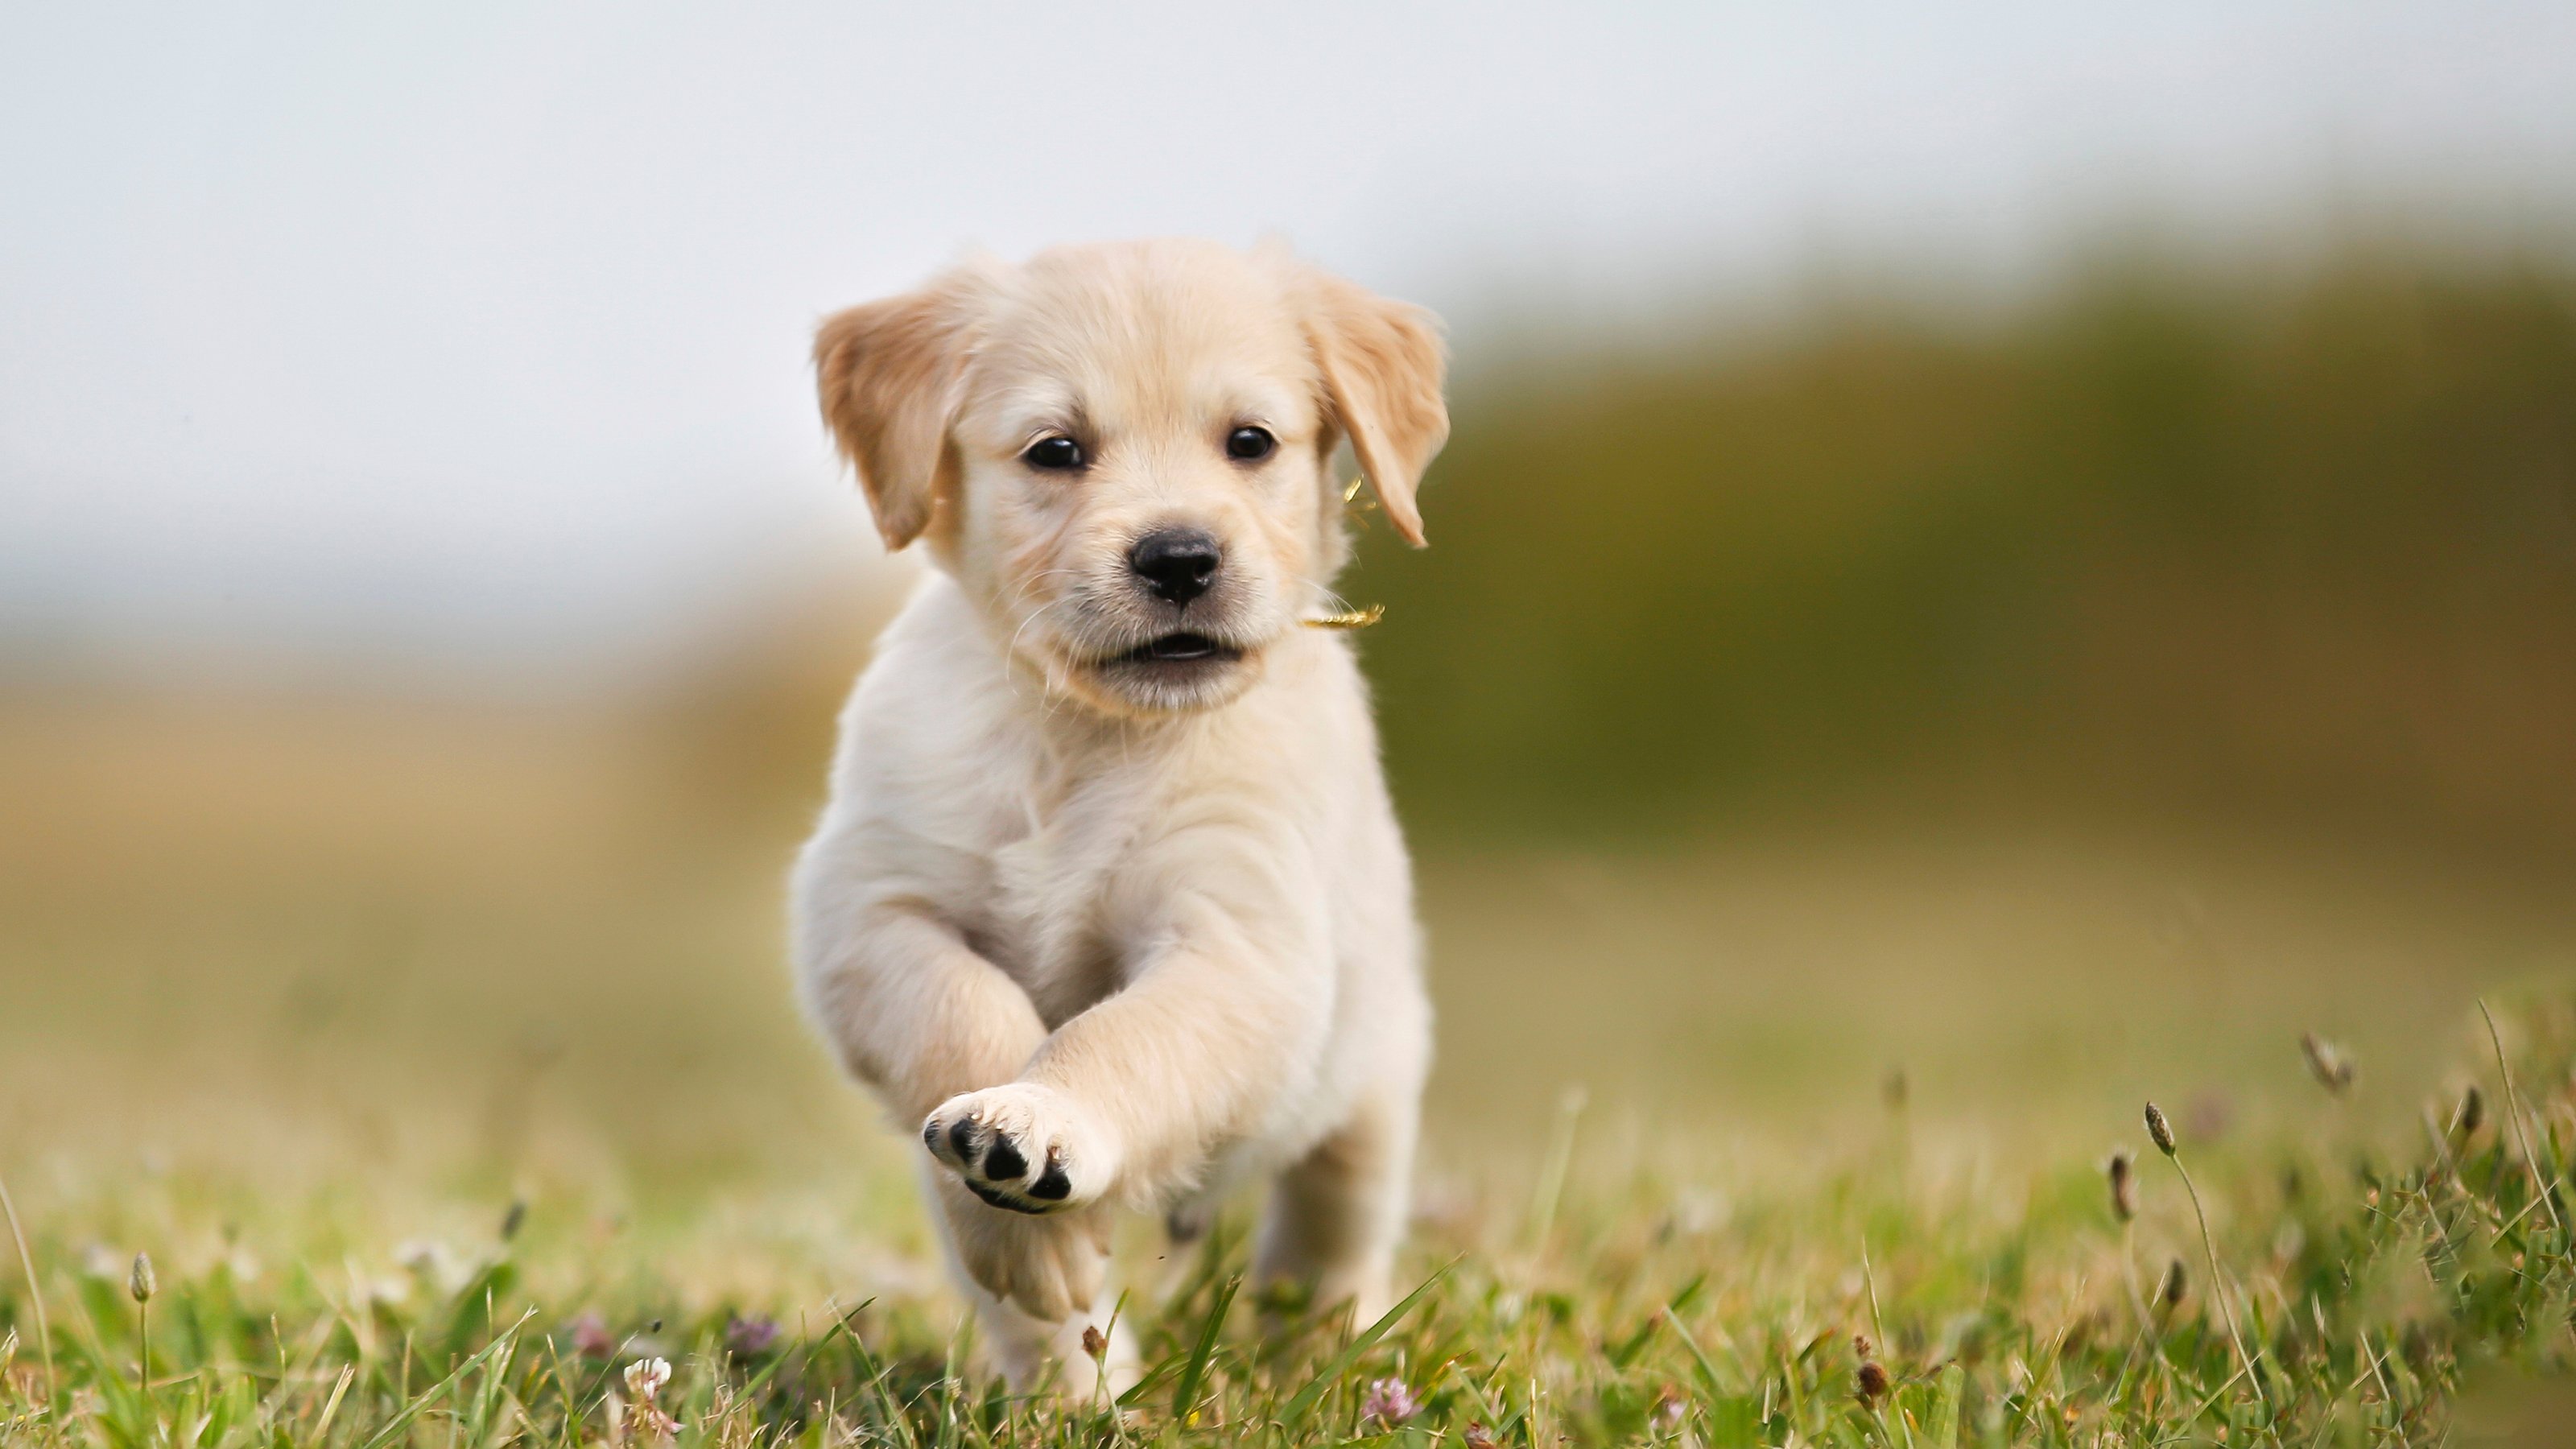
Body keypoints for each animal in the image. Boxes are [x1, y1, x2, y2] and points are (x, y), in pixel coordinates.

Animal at [782, 237, 1452, 1392]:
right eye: (1056, 450)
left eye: (1249, 442)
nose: (1179, 557)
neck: (1089, 739)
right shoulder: (868, 907)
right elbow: (965, 1014)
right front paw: (1022, 1213)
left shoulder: (1240, 941)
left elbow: (1121, 1038)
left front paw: (1043, 1119)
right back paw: (1077, 1396)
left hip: (1373, 1079)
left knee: (1331, 1233)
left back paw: (1321, 1358)